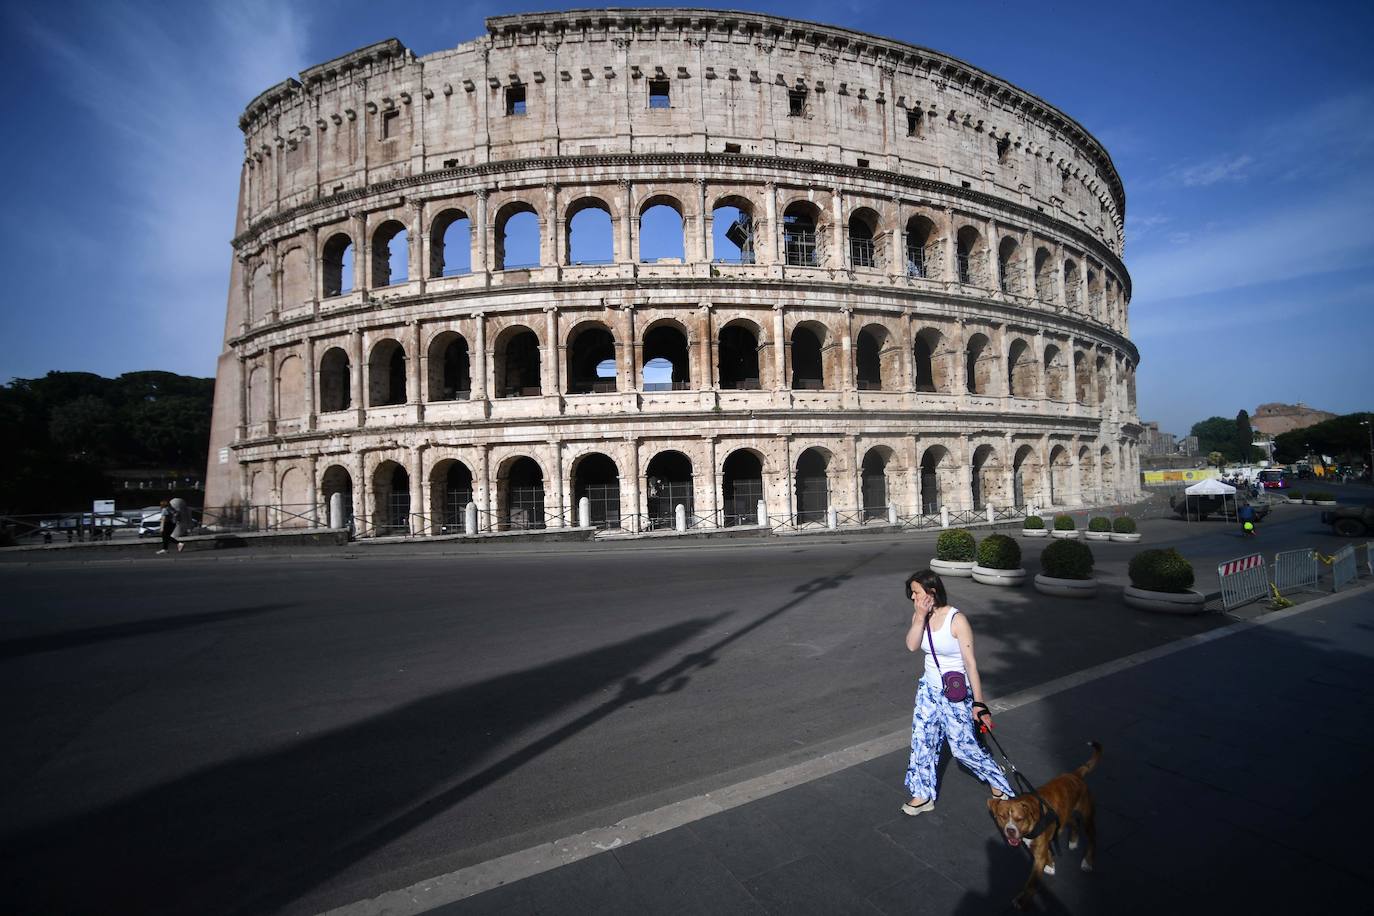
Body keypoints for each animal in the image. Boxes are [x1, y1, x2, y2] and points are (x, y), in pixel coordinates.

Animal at [989, 747, 1104, 911]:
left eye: (1019, 819)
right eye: (1002, 816)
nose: (1010, 830)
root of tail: (1075, 775)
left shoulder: (1038, 853)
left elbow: (1032, 882)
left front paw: (1022, 900)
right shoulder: (1037, 845)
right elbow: (1047, 852)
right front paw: (1050, 864)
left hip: (1087, 815)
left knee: (1092, 837)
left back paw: (1087, 862)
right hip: (1065, 813)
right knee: (1074, 822)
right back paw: (1073, 841)